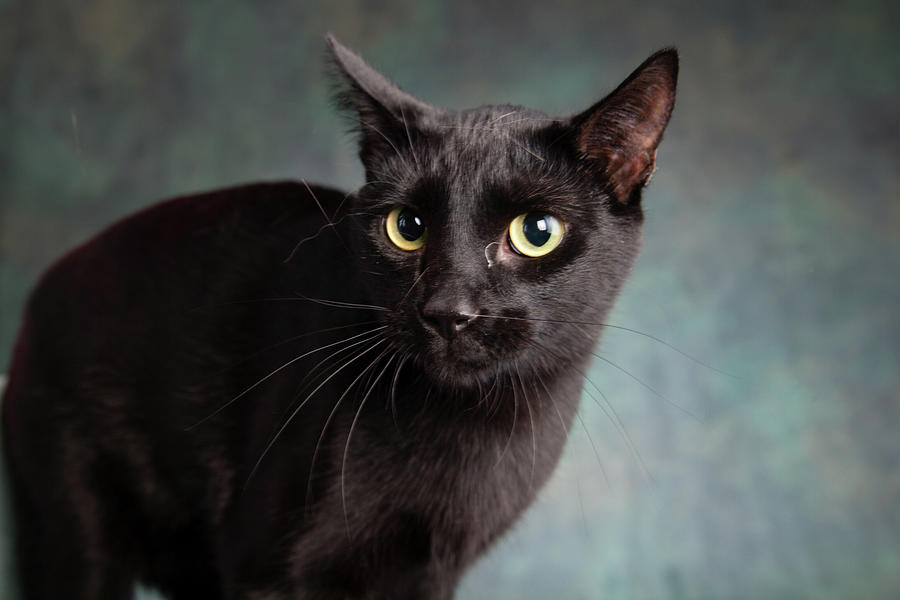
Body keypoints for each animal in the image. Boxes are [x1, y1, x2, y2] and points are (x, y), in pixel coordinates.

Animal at [0, 35, 676, 596]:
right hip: (77, 524)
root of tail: (43, 292)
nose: (448, 311)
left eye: (536, 232)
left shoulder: (429, 577)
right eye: (406, 227)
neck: (471, 436)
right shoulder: (268, 568)